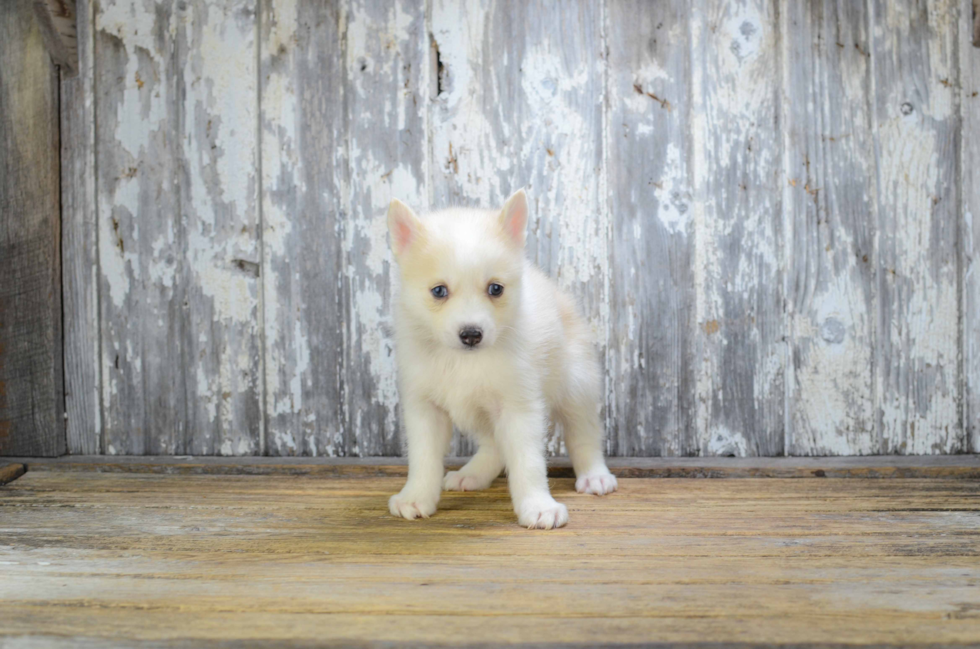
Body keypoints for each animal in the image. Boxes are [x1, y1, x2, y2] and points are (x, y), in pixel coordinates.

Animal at [386, 189, 616, 532]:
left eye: (495, 289)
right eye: (439, 291)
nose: (471, 334)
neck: (463, 361)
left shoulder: (520, 407)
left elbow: (528, 462)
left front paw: (537, 505)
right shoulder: (424, 407)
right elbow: (423, 458)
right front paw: (415, 496)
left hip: (577, 385)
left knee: (583, 434)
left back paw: (595, 475)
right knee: (494, 444)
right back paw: (473, 474)